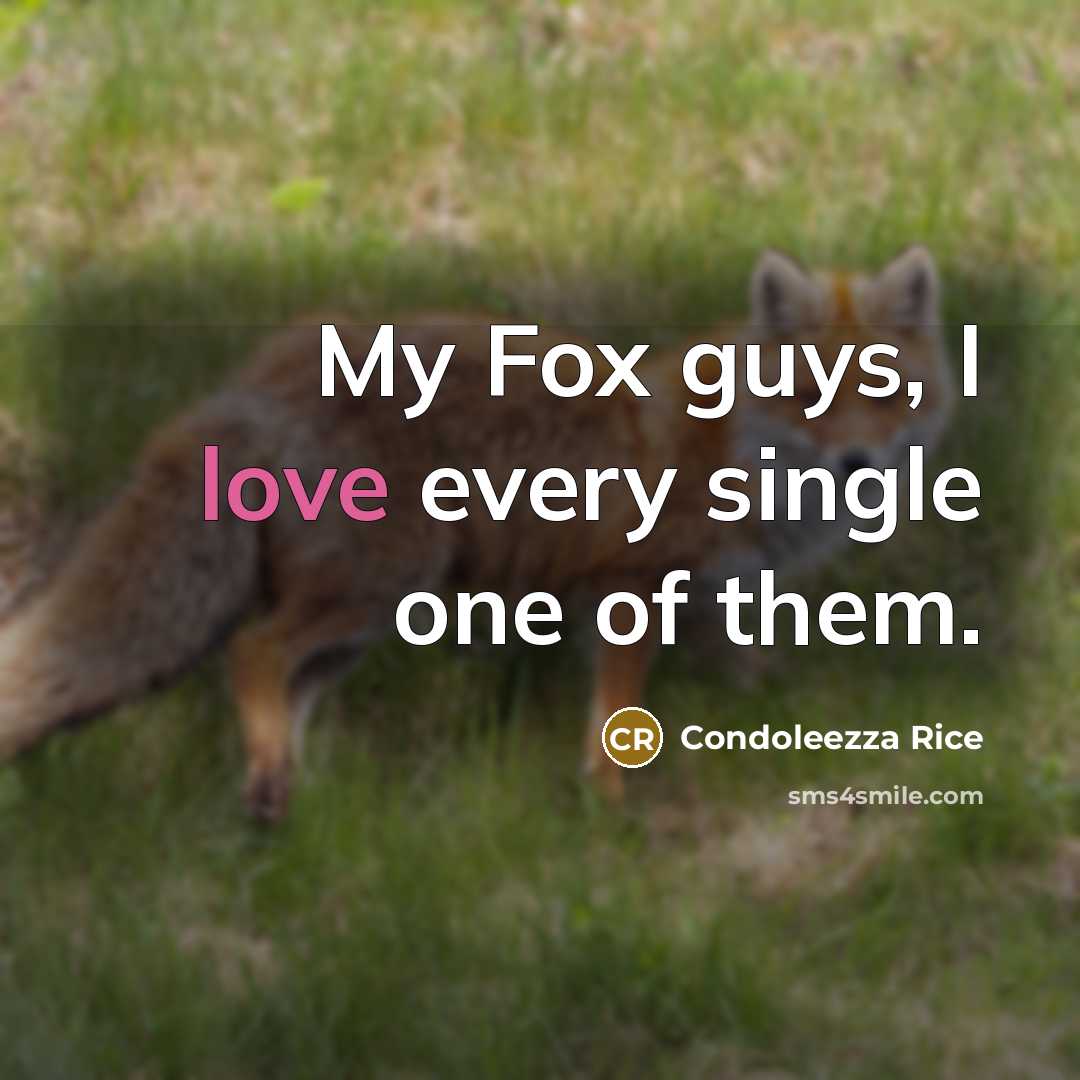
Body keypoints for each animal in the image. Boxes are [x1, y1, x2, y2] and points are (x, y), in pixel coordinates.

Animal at [0, 247, 953, 820]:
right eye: (812, 400)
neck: (736, 452)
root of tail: (262, 370)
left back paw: (290, 799)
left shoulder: (710, 600)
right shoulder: (631, 593)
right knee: (251, 652)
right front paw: (608, 806)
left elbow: (748, 673)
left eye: (887, 397)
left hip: (363, 620)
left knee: (283, 684)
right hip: (376, 587)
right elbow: (617, 717)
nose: (858, 463)